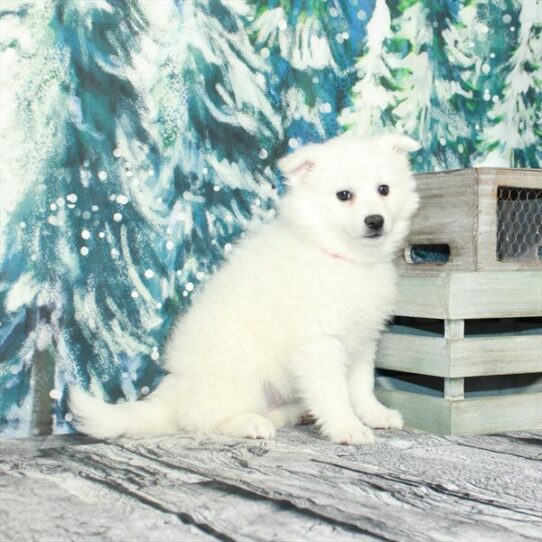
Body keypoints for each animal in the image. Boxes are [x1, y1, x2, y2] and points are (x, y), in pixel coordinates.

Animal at [71, 133, 420, 446]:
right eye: (344, 195)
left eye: (384, 189)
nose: (375, 221)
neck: (342, 257)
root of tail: (174, 395)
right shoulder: (318, 343)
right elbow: (334, 392)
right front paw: (346, 427)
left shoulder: (362, 340)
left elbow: (361, 385)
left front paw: (374, 414)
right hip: (237, 371)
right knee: (203, 420)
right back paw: (249, 423)